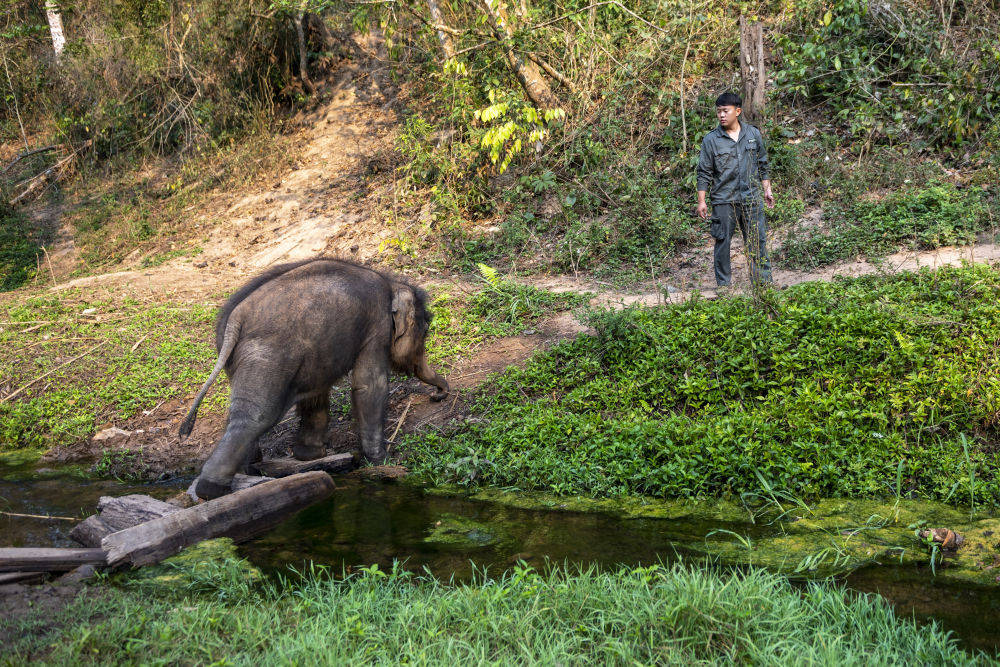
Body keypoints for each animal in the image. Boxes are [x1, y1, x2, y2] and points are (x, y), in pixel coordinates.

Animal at [178, 258, 448, 498]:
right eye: (425, 330)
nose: (439, 395)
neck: (391, 284)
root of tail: (236, 317)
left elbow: (317, 394)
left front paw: (310, 456)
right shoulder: (376, 327)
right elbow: (369, 386)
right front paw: (380, 459)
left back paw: (249, 470)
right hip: (266, 357)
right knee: (255, 416)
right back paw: (212, 490)